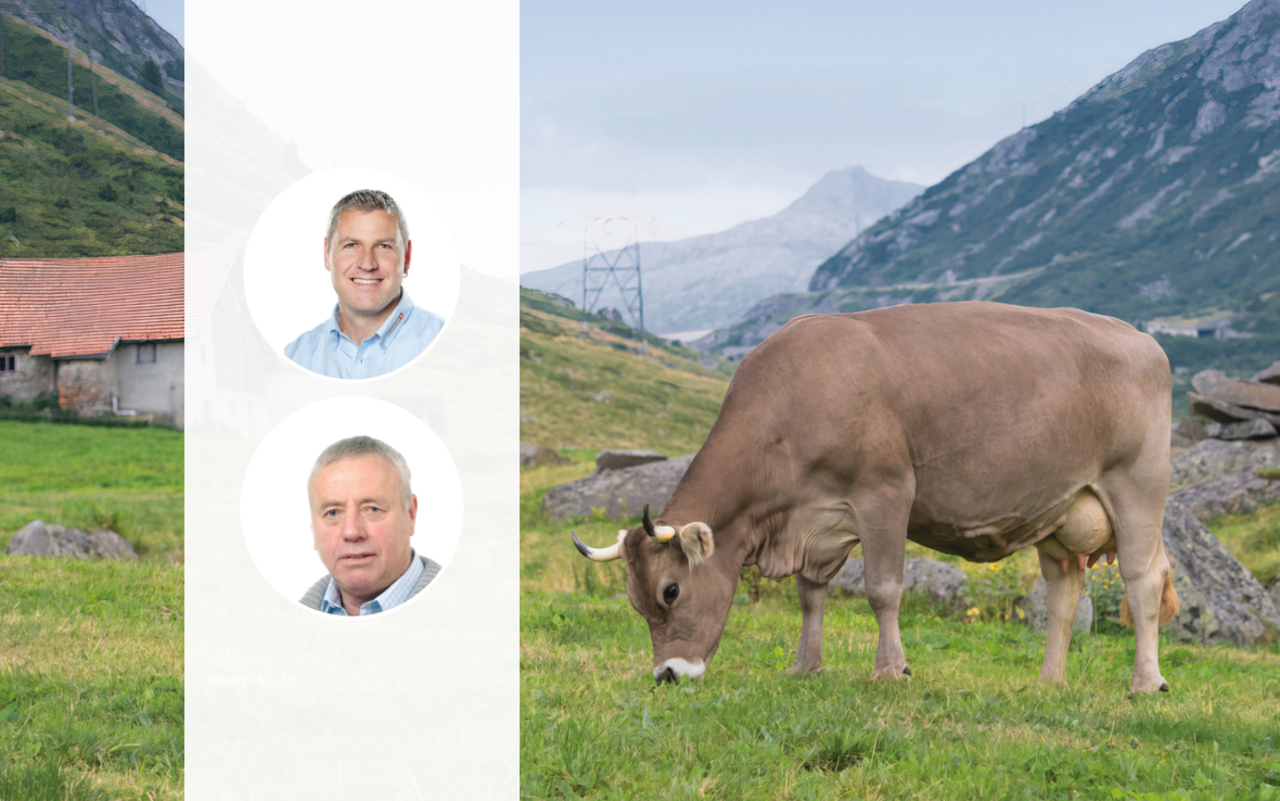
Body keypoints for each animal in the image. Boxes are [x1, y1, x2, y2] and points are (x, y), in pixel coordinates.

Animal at [571, 301, 1180, 695]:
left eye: (671, 591)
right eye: (636, 602)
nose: (668, 675)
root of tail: (1140, 337)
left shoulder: (885, 493)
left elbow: (883, 590)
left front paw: (890, 670)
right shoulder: (816, 520)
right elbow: (811, 596)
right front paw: (805, 666)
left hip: (1137, 486)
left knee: (1142, 581)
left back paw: (1146, 683)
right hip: (1057, 509)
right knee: (1064, 592)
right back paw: (1049, 681)